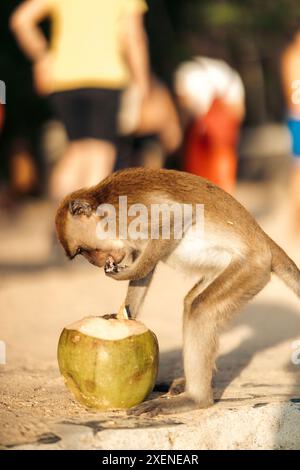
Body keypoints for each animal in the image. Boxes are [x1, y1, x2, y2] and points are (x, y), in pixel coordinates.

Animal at [55, 167, 300, 416]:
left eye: (84, 250)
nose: (96, 263)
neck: (103, 205)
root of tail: (263, 240)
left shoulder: (127, 214)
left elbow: (178, 215)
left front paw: (125, 274)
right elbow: (144, 270)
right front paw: (122, 316)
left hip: (252, 268)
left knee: (201, 309)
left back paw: (196, 398)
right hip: (229, 268)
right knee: (191, 302)